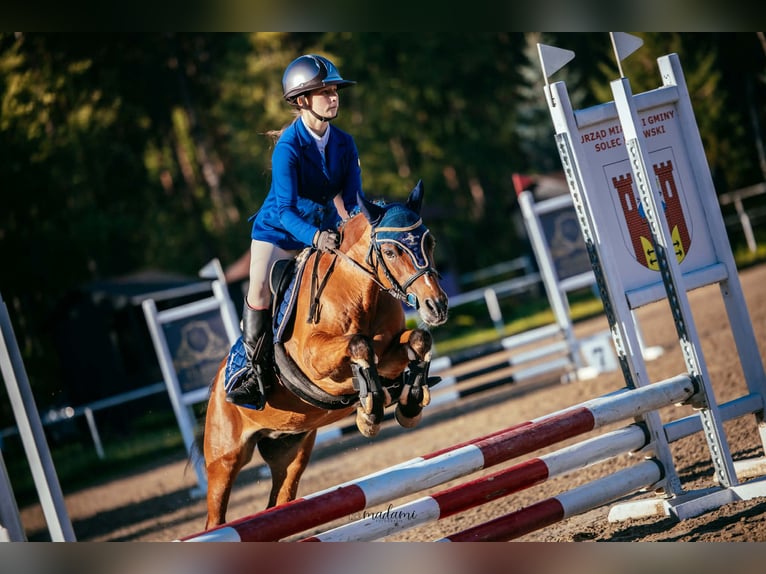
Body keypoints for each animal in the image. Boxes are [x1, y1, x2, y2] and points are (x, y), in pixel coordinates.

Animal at [201, 180, 449, 529]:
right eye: (390, 251)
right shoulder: (316, 362)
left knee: (280, 502)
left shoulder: (389, 352)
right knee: (216, 517)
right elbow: (359, 345)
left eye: (430, 242)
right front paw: (369, 412)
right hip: (224, 460)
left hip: (291, 448)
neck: (359, 291)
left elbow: (418, 338)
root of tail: (215, 389)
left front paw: (409, 400)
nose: (436, 307)